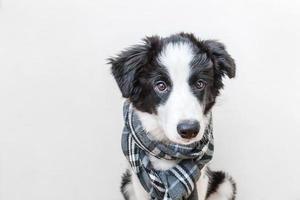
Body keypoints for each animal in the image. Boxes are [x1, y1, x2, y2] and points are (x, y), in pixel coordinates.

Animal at [110, 33, 237, 200]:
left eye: (200, 84)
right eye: (161, 85)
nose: (189, 130)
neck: (169, 151)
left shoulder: (201, 180)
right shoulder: (138, 184)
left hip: (225, 185)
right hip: (127, 184)